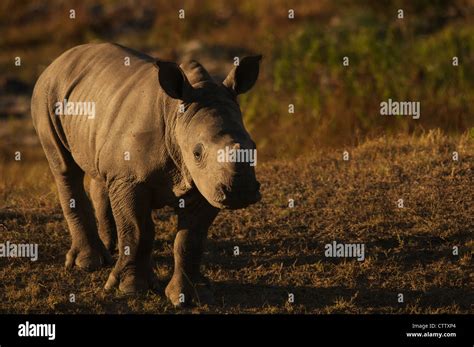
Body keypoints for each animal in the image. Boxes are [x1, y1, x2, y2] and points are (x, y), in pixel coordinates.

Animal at [32, 42, 262, 308]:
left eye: (254, 146)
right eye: (197, 153)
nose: (242, 191)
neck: (177, 118)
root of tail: (60, 58)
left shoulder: (206, 185)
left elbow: (189, 240)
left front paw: (191, 296)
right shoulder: (132, 180)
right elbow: (138, 230)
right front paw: (131, 289)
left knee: (101, 173)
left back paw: (110, 247)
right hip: (48, 93)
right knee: (65, 168)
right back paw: (89, 264)